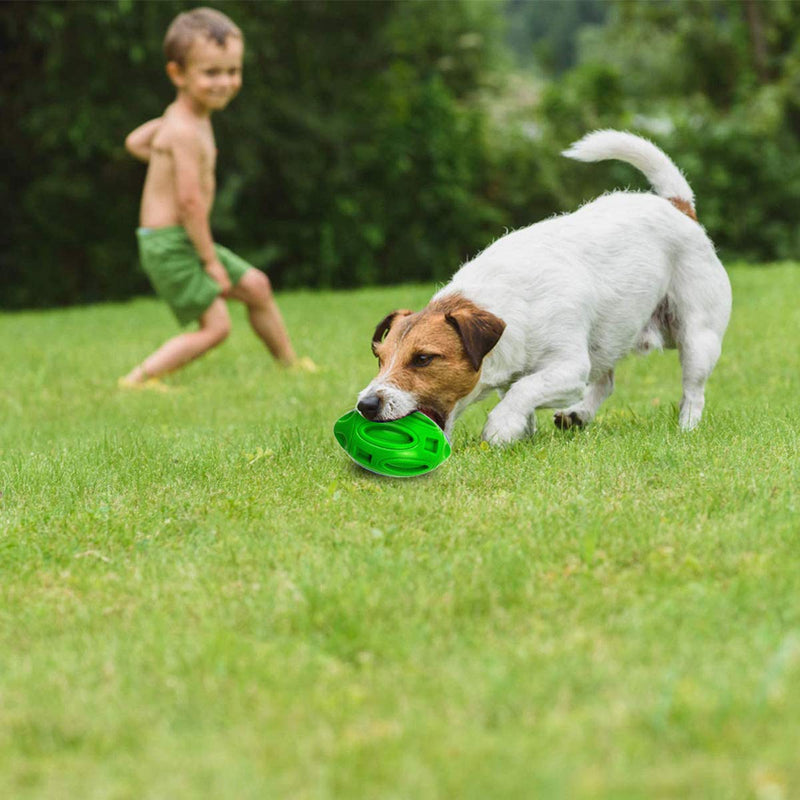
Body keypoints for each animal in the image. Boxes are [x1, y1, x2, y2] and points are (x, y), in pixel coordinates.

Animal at [356, 128, 732, 446]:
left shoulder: (568, 368)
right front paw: (522, 432)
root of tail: (677, 206)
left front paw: (501, 426)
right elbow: (520, 390)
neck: (505, 305)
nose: (366, 404)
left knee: (693, 390)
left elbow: (525, 388)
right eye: (380, 358)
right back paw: (578, 413)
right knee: (606, 380)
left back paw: (686, 428)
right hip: (610, 333)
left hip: (698, 337)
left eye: (423, 358)